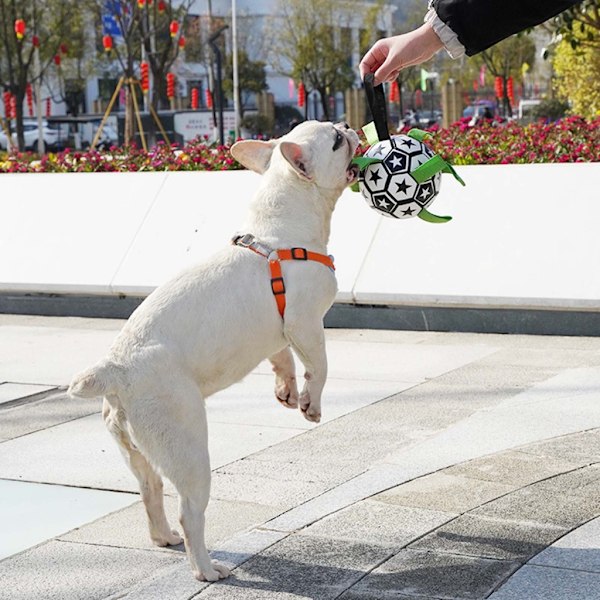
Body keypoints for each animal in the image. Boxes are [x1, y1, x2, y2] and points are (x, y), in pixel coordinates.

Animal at [70, 120, 360, 580]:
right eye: (335, 141)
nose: (348, 125)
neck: (280, 228)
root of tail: (116, 369)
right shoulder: (306, 324)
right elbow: (319, 366)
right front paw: (310, 405)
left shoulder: (280, 334)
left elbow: (282, 360)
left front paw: (286, 391)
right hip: (187, 447)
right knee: (191, 511)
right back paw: (206, 568)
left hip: (136, 447)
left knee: (150, 489)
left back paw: (164, 537)